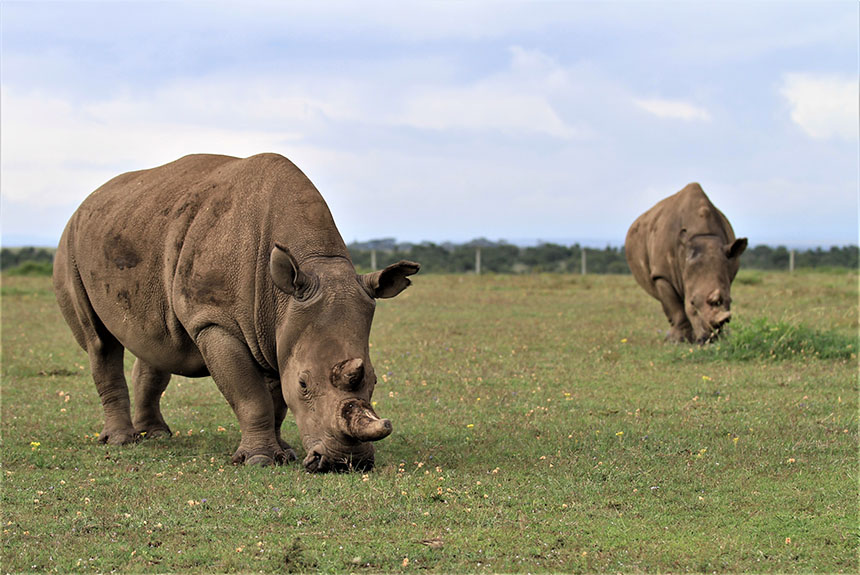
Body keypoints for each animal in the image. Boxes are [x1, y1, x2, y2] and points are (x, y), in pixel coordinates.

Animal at [52, 153, 422, 472]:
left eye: (374, 379)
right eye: (304, 384)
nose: (346, 462)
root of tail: (86, 202)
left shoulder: (275, 325)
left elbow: (276, 397)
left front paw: (284, 452)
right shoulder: (216, 321)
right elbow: (250, 394)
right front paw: (259, 460)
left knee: (156, 344)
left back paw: (156, 436)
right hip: (69, 245)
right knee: (100, 343)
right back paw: (121, 442)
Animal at [624, 184, 744, 344]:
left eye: (730, 300)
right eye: (692, 302)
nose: (709, 339)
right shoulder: (662, 274)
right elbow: (676, 308)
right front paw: (678, 341)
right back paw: (672, 336)